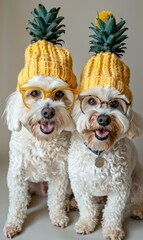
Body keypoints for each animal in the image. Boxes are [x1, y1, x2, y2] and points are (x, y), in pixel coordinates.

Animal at [3, 75, 76, 238]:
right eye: (34, 93)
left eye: (59, 94)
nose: (48, 112)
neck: (42, 140)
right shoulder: (17, 174)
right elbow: (16, 204)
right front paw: (13, 224)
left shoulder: (60, 174)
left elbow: (56, 198)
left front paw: (58, 216)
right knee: (23, 195)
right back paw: (27, 199)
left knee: (65, 194)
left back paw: (68, 203)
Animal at [68, 86, 143, 240]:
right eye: (91, 101)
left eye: (115, 103)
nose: (103, 119)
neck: (99, 151)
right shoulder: (79, 184)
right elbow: (86, 206)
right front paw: (86, 223)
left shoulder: (120, 188)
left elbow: (113, 211)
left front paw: (112, 230)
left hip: (138, 179)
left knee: (138, 197)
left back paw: (138, 210)